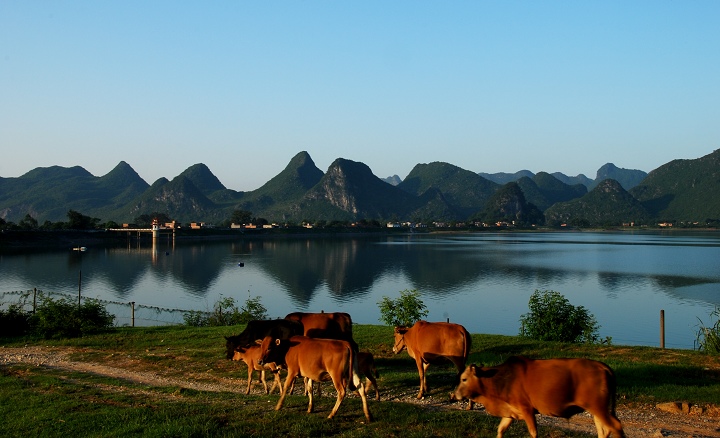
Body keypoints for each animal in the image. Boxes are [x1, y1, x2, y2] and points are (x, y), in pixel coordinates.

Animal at [450, 356, 624, 438]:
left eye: (464, 379)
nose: (454, 395)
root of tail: (602, 366)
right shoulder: (510, 412)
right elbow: (500, 430)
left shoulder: (527, 409)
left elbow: (533, 432)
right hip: (597, 409)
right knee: (604, 431)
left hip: (598, 407)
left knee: (615, 426)